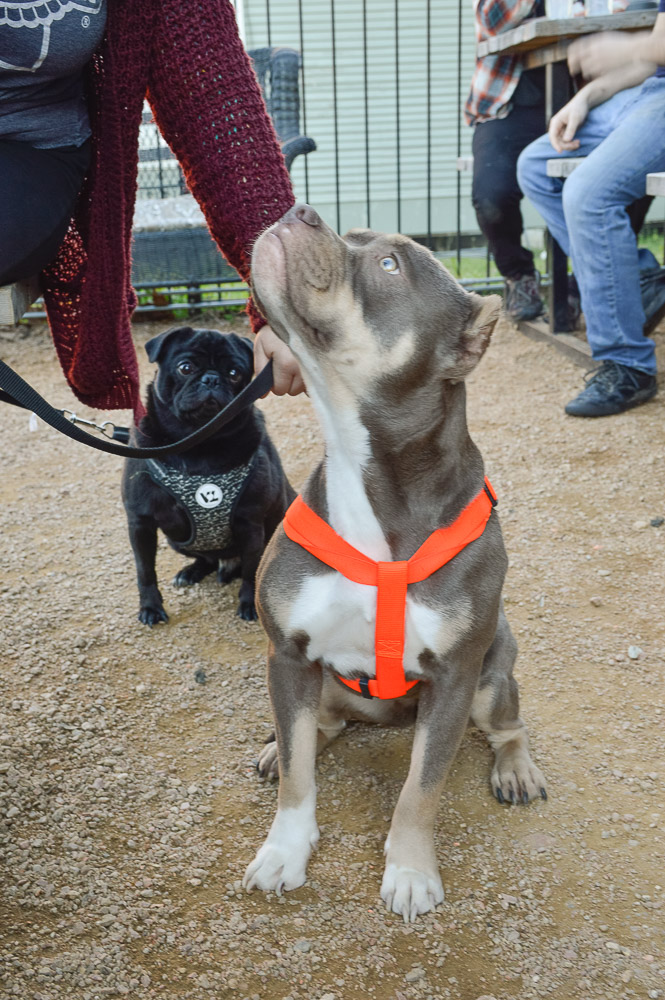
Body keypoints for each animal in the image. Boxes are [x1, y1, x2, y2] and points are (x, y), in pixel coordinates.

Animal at [243, 203, 544, 920]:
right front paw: (284, 850)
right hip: (318, 681)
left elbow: (420, 789)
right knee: (312, 731)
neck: (368, 472)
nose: (300, 209)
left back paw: (516, 767)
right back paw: (278, 746)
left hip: (492, 676)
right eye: (348, 235)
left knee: (508, 723)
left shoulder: (454, 680)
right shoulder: (286, 655)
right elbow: (297, 775)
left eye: (388, 265)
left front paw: (409, 871)